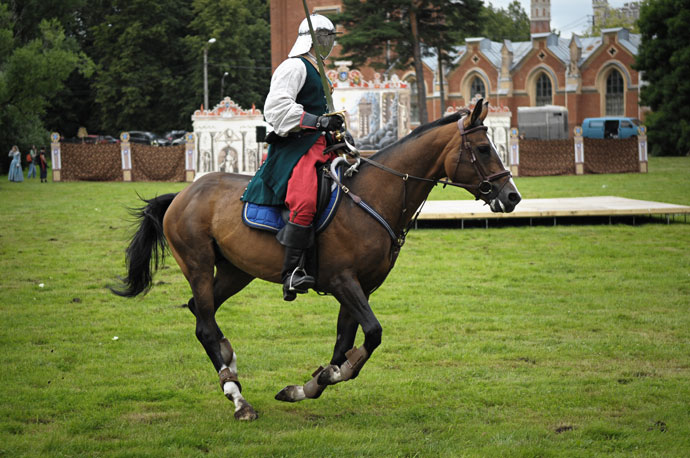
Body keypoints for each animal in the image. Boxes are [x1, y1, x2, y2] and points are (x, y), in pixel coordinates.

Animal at [113, 101, 520, 422]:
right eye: (483, 148)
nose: (512, 196)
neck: (373, 197)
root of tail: (184, 193)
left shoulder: (359, 288)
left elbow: (344, 345)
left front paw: (308, 385)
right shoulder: (343, 282)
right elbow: (371, 335)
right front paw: (324, 377)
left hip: (235, 272)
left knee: (201, 312)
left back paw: (230, 364)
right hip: (198, 265)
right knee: (205, 325)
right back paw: (238, 397)